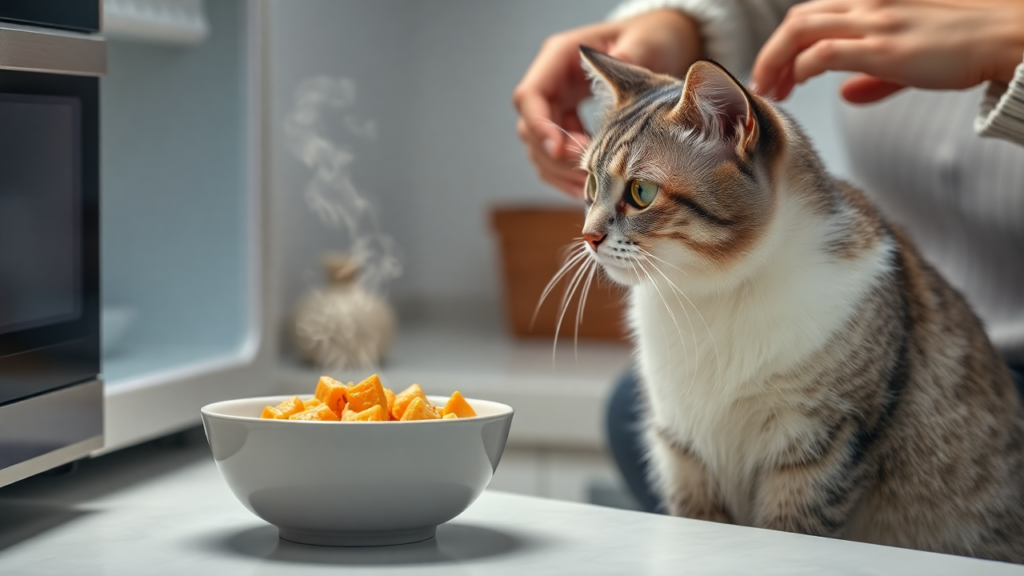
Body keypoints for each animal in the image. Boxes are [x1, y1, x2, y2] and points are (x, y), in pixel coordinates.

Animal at [573, 45, 1024, 561]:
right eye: (590, 186)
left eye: (641, 193)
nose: (587, 236)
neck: (712, 297)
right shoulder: (682, 447)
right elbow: (694, 519)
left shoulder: (823, 441)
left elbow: (790, 528)